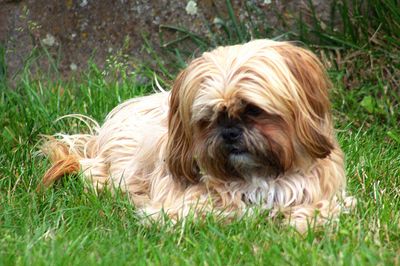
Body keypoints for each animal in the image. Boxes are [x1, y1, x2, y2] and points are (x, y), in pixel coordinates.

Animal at [39, 39, 354, 231]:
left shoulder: (320, 193)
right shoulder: (178, 205)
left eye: (253, 110)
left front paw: (300, 221)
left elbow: (320, 209)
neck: (256, 175)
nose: (230, 133)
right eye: (209, 118)